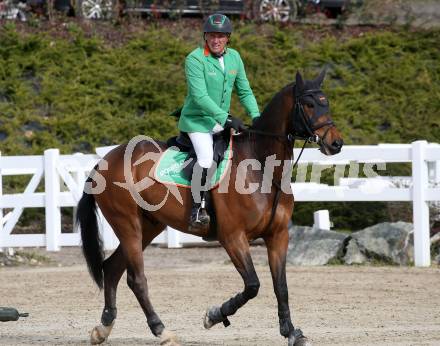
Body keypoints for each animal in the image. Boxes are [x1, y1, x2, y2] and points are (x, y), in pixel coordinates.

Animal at [75, 69, 344, 344]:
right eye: (309, 104)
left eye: (326, 103)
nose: (336, 143)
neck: (262, 167)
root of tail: (105, 160)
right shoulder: (233, 237)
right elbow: (253, 285)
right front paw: (214, 315)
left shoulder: (278, 236)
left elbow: (281, 286)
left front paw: (291, 331)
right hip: (128, 225)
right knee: (136, 279)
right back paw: (161, 330)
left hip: (148, 227)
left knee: (112, 268)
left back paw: (103, 328)